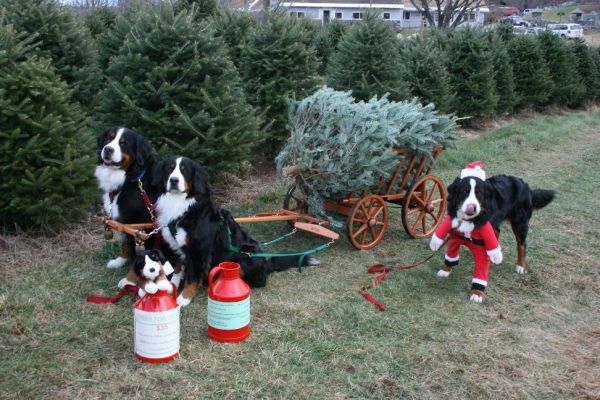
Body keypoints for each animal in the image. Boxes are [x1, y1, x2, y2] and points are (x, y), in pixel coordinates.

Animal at [151, 156, 318, 306]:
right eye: (170, 169)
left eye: (185, 170)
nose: (173, 180)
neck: (181, 205)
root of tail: (266, 263)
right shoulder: (176, 245)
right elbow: (178, 268)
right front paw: (172, 287)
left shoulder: (198, 249)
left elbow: (191, 278)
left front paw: (184, 298)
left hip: (243, 255)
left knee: (257, 280)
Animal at [428, 161, 556, 302]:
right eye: (464, 191)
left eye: (479, 193)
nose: (472, 208)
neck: (469, 221)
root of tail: (525, 185)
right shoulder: (455, 236)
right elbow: (450, 255)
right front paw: (445, 269)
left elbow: (480, 275)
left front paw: (477, 293)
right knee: (498, 233)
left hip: (520, 223)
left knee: (522, 245)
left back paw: (521, 266)